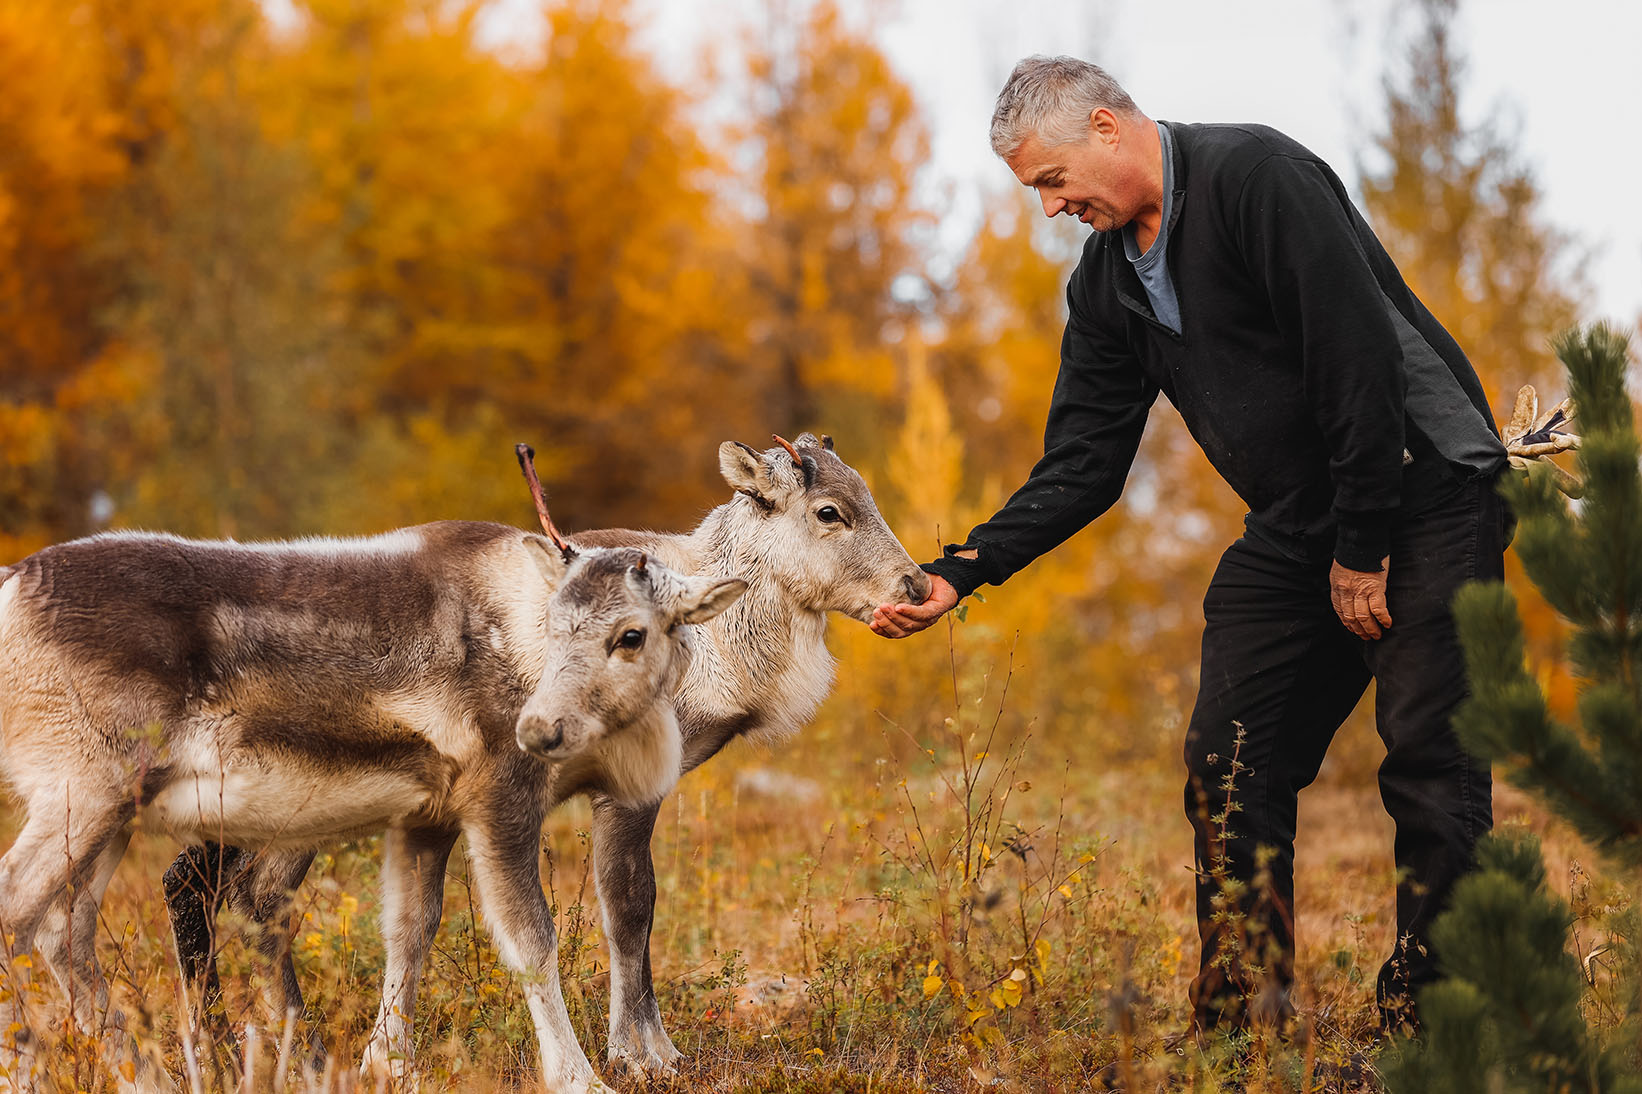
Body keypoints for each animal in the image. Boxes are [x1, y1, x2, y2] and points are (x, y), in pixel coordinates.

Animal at [0, 482, 748, 1084]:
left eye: (631, 634)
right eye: (555, 625)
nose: (538, 730)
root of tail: (10, 587)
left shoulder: (427, 817)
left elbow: (409, 930)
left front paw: (389, 1064)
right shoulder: (500, 798)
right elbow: (531, 940)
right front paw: (578, 1078)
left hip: (115, 813)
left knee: (65, 929)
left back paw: (142, 1071)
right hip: (84, 788)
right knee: (19, 908)